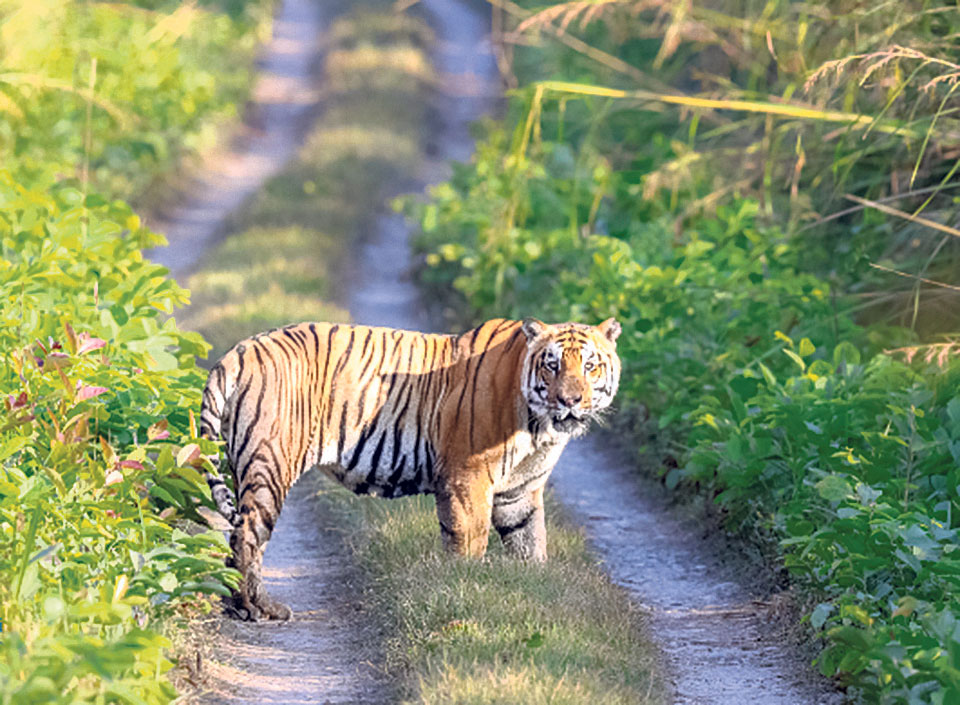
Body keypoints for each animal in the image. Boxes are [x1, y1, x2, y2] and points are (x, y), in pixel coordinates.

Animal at [202, 316, 624, 620]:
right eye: (552, 366)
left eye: (590, 367)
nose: (570, 401)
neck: (540, 428)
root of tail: (240, 350)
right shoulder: (469, 479)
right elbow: (470, 544)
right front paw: (467, 592)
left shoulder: (518, 493)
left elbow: (531, 545)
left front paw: (535, 596)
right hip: (270, 464)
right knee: (247, 535)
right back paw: (257, 608)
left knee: (238, 533)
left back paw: (237, 605)